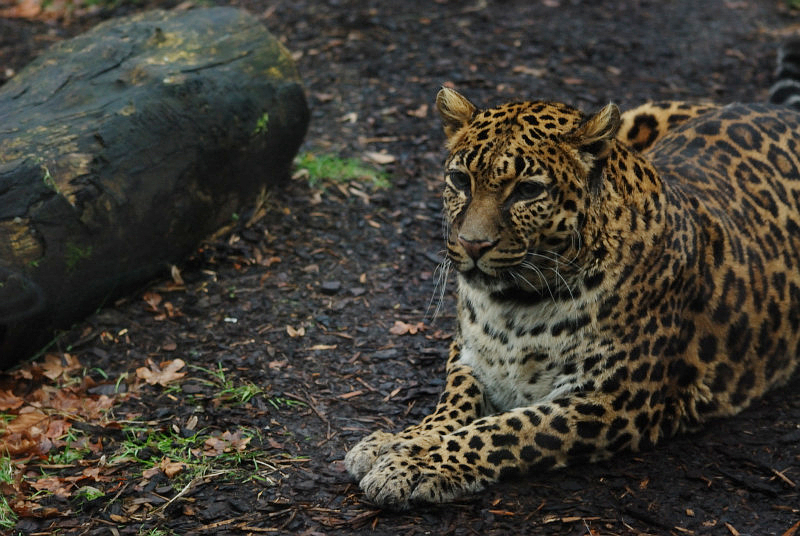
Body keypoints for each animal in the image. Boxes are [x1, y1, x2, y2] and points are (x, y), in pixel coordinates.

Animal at [344, 49, 800, 509]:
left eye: (527, 190)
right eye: (460, 180)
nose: (472, 245)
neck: (511, 305)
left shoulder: (611, 399)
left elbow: (505, 430)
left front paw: (416, 464)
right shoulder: (469, 354)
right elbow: (452, 402)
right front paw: (398, 440)